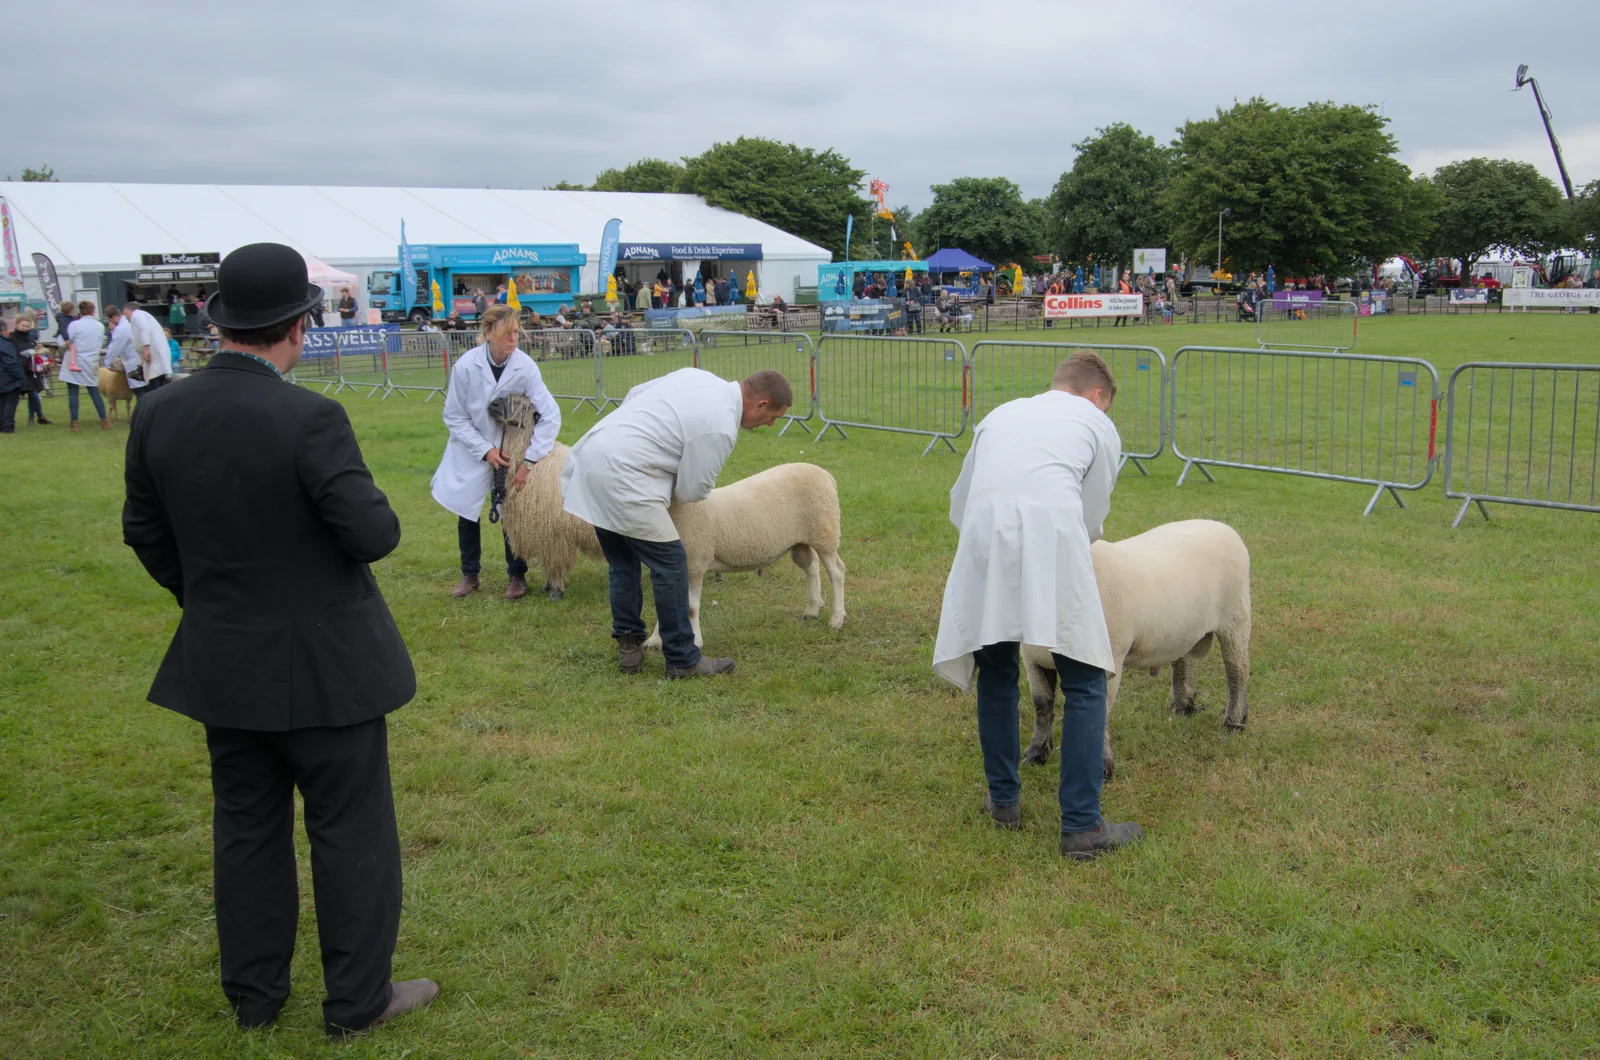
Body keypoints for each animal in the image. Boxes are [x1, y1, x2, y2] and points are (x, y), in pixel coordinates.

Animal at [1024, 521, 1248, 781]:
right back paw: (1183, 707)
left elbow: (1100, 712)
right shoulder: (1033, 659)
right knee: (1183, 661)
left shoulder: (1107, 660)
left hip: (1235, 619)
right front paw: (1036, 754)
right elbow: (1042, 705)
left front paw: (1102, 767)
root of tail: (1220, 525)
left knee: (1237, 671)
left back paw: (1234, 722)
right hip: (1183, 626)